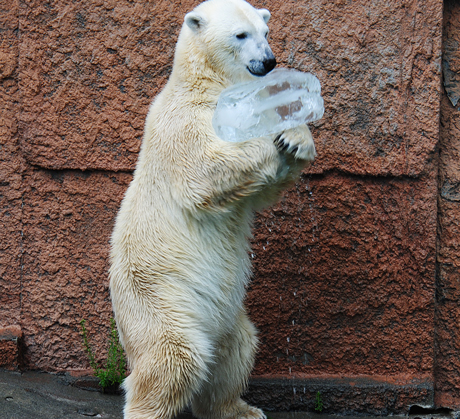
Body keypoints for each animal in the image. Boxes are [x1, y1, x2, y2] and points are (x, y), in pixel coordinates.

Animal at [108, 0, 316, 419]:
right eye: (240, 34)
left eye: (265, 32)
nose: (268, 61)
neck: (207, 82)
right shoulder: (183, 121)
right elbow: (204, 171)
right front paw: (269, 133)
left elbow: (262, 193)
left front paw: (295, 136)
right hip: (159, 294)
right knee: (173, 357)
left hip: (223, 316)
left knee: (235, 349)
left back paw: (239, 409)